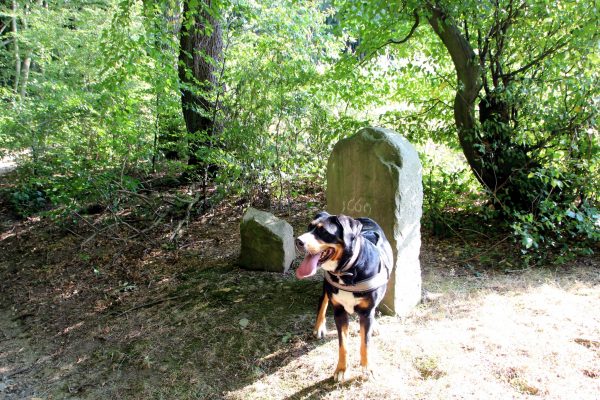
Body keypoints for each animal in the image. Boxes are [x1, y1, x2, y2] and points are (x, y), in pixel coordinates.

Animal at [295, 211, 393, 381]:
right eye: (309, 227)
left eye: (323, 232)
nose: (298, 241)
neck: (348, 272)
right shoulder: (339, 311)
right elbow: (343, 345)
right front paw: (341, 370)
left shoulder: (366, 313)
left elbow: (365, 343)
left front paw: (367, 369)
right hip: (327, 288)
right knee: (323, 300)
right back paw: (319, 327)